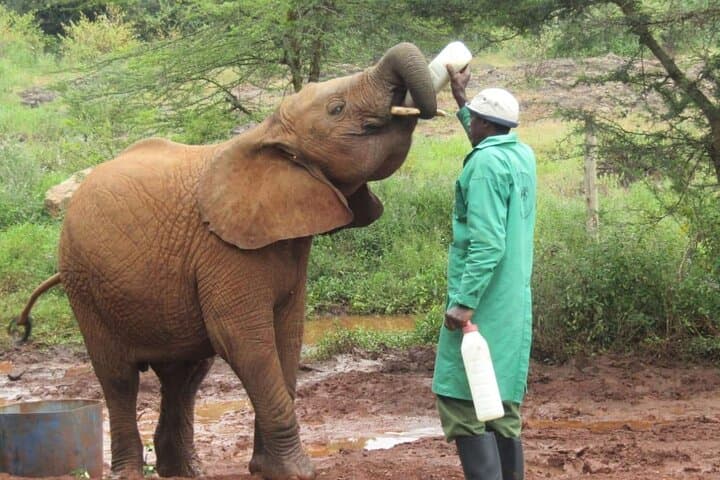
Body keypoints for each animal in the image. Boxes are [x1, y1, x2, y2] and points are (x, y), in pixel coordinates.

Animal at [13, 42, 437, 480]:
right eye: (337, 109)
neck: (267, 132)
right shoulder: (224, 251)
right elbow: (244, 341)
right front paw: (298, 471)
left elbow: (287, 338)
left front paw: (268, 469)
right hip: (83, 281)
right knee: (119, 378)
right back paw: (132, 470)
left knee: (184, 376)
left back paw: (184, 472)